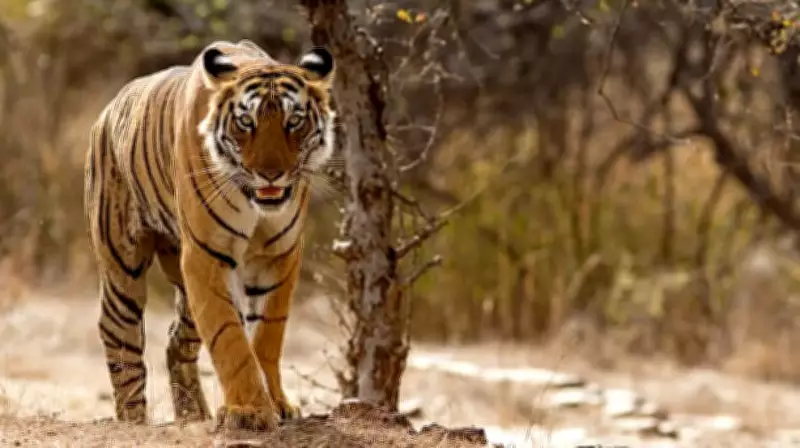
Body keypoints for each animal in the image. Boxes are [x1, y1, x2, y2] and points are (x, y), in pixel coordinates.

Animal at [83, 39, 336, 432]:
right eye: (246, 122)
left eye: (294, 121)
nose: (271, 175)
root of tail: (108, 110)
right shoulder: (206, 256)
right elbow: (229, 337)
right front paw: (248, 411)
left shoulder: (278, 256)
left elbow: (266, 335)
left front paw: (276, 403)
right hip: (122, 264)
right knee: (118, 333)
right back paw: (133, 419)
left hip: (183, 289)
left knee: (176, 340)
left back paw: (192, 415)